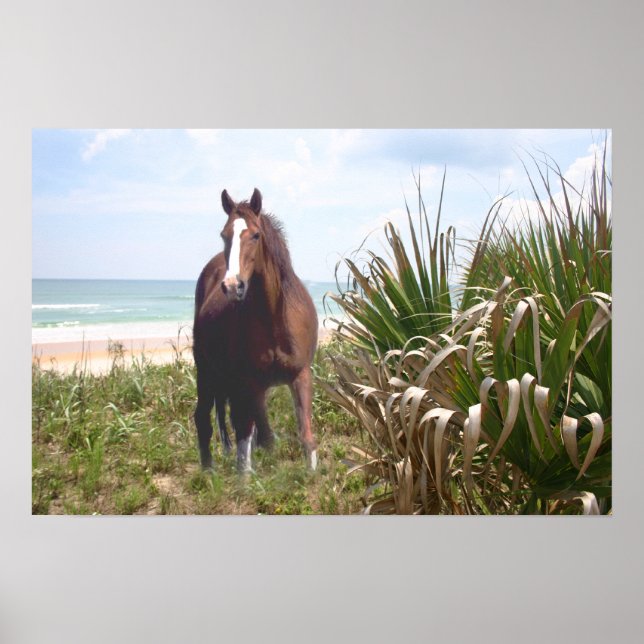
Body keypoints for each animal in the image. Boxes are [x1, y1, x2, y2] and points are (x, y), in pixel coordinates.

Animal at [192, 188, 319, 473]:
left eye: (256, 235)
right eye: (224, 234)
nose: (232, 285)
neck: (275, 318)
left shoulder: (301, 374)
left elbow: (305, 435)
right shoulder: (251, 383)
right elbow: (253, 438)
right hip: (206, 372)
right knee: (204, 418)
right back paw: (208, 473)